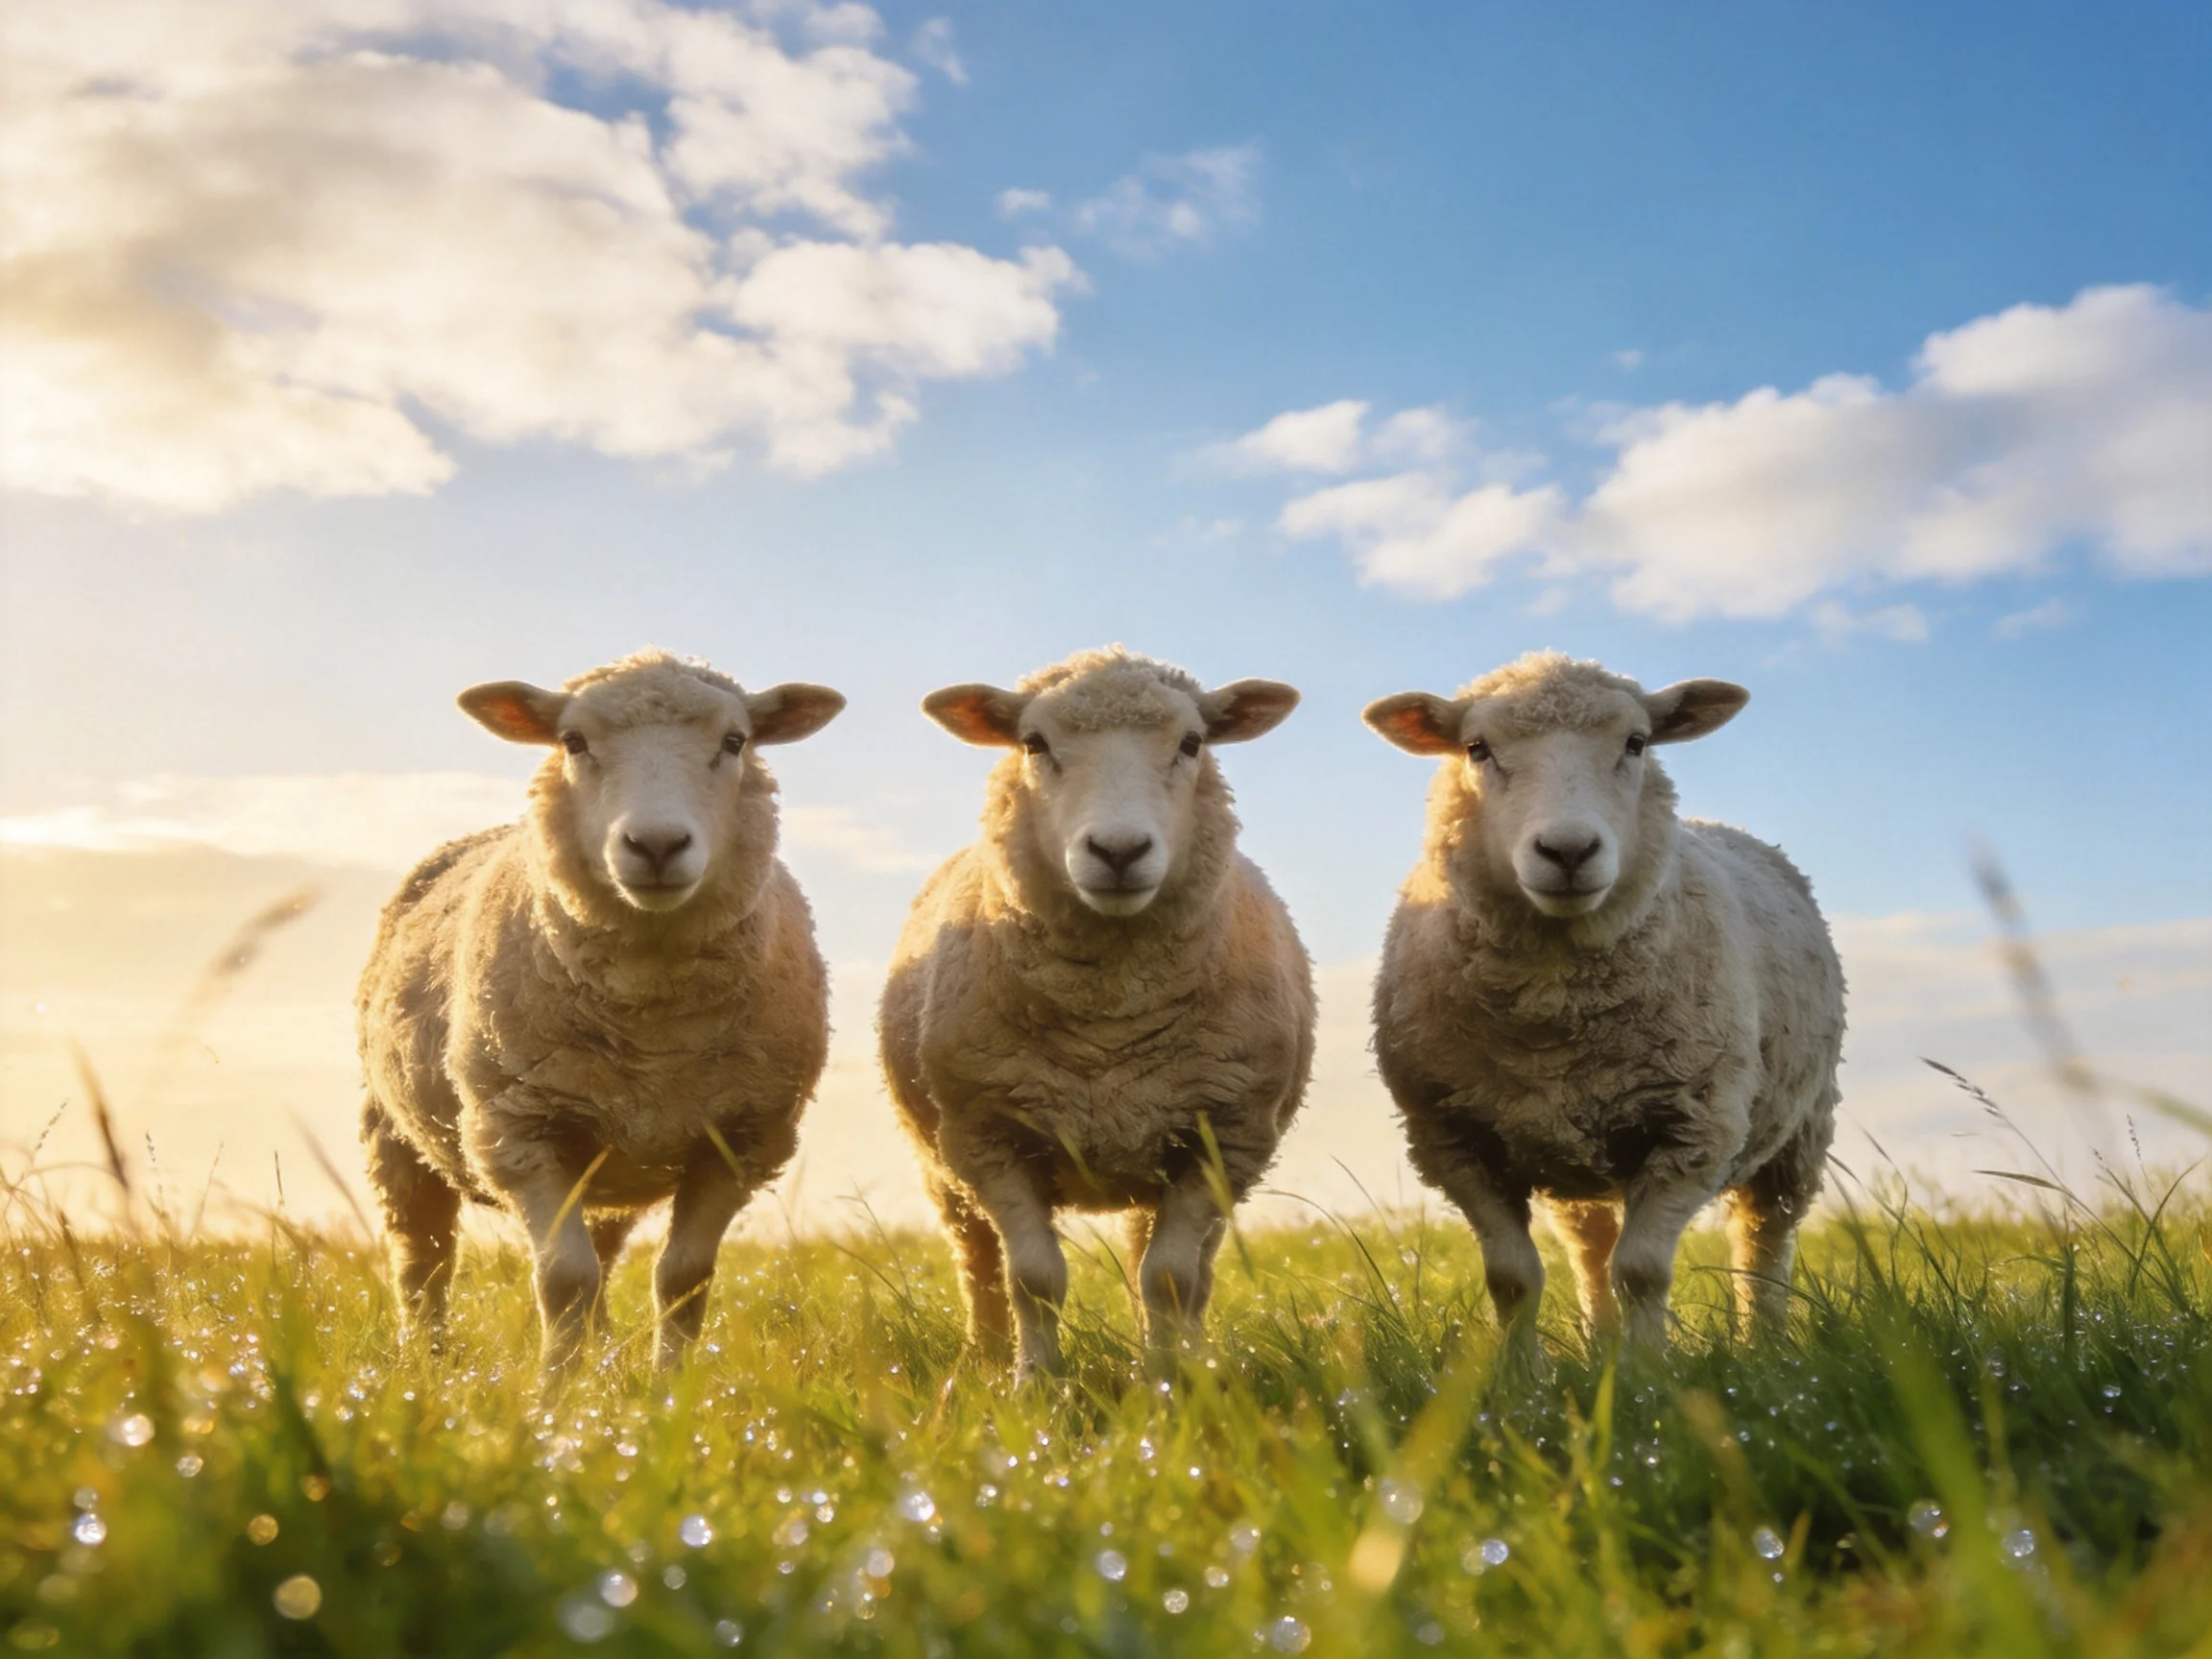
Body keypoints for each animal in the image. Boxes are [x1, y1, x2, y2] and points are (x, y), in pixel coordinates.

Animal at [356, 649, 845, 1371]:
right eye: (573, 741)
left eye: (735, 741)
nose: (656, 845)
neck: (652, 1026)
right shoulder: (521, 1133)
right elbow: (564, 1280)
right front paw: (555, 1392)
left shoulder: (740, 1141)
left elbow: (682, 1279)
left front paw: (669, 1387)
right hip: (395, 1134)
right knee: (423, 1262)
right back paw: (428, 1365)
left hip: (610, 1167)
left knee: (602, 1262)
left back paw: (603, 1359)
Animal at [880, 647, 1315, 1381]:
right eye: (1034, 742)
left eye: (1192, 742)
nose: (1118, 851)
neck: (1110, 1018)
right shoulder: (987, 1137)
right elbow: (1032, 1276)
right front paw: (1035, 1384)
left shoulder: (1223, 1136)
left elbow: (1168, 1278)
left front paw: (1169, 1382)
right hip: (939, 1164)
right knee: (978, 1263)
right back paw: (982, 1358)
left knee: (1188, 1267)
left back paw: (1191, 1353)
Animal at [1363, 651, 1844, 1362]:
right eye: (1477, 748)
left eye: (1636, 742)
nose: (1568, 851)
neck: (1554, 1020)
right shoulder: (1454, 1141)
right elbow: (1512, 1277)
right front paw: (1520, 1376)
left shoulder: (1694, 1130)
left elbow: (1642, 1271)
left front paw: (1646, 1372)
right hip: (1566, 1153)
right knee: (1589, 1246)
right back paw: (1599, 1342)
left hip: (1801, 1129)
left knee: (1763, 1241)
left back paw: (1762, 1344)